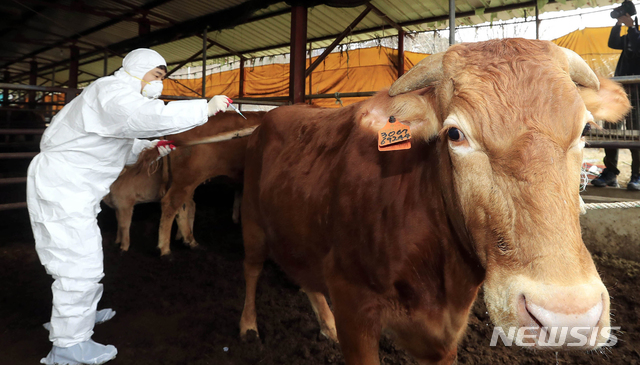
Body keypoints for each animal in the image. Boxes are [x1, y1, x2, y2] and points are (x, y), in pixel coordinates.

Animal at [236, 38, 632, 362]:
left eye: (585, 129)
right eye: (454, 134)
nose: (567, 315)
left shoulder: (444, 336)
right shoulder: (354, 306)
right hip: (252, 221)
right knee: (252, 269)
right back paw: (248, 326)